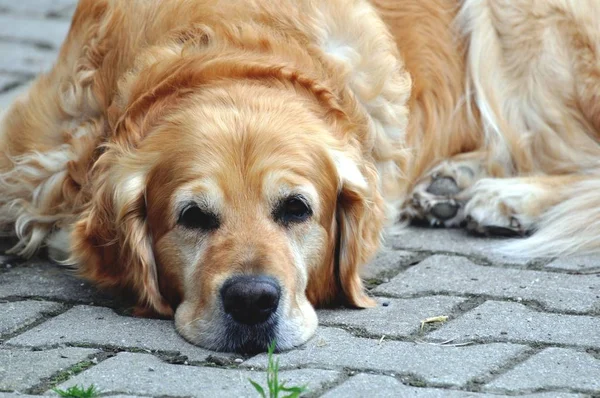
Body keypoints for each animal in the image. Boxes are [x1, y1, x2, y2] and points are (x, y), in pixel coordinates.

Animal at [0, 0, 596, 352]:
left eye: (296, 209)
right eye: (192, 217)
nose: (251, 302)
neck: (225, 47)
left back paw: (504, 197)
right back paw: (451, 186)